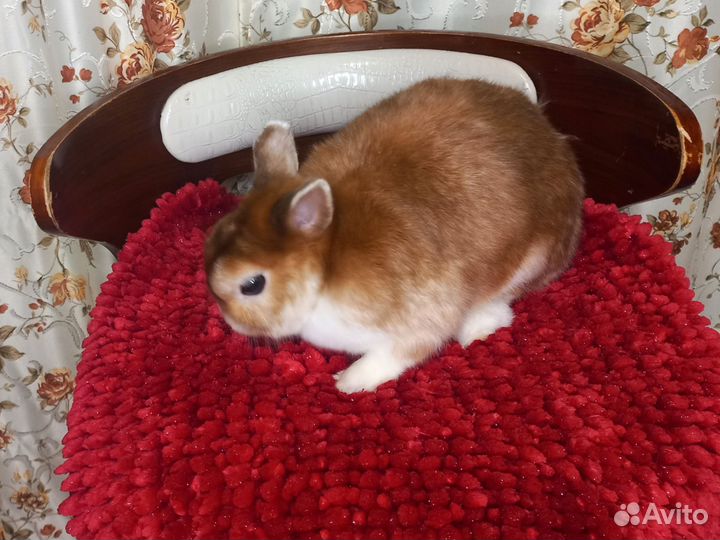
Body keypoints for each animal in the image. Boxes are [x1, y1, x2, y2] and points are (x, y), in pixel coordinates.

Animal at [205, 78, 584, 394]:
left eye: (252, 285)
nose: (231, 323)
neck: (327, 263)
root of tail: (555, 140)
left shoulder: (422, 319)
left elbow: (399, 353)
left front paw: (350, 381)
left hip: (532, 259)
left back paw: (477, 328)